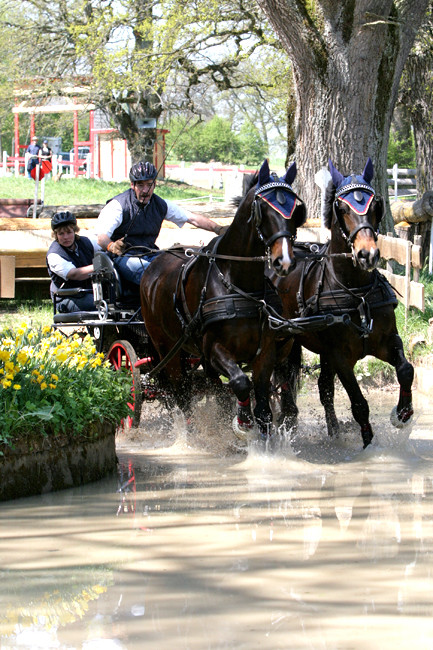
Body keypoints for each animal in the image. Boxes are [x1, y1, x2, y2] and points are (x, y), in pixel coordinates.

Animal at [140, 159, 306, 438]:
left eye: (296, 209)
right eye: (263, 208)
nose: (283, 261)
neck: (237, 282)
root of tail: (154, 264)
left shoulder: (265, 352)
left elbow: (263, 408)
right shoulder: (215, 348)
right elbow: (240, 382)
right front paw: (243, 421)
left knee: (211, 385)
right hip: (167, 349)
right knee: (181, 392)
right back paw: (190, 435)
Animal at [272, 158, 414, 446]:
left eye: (374, 205)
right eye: (342, 207)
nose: (367, 254)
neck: (357, 292)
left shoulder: (387, 341)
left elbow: (406, 370)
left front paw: (403, 413)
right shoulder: (340, 356)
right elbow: (359, 404)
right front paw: (369, 445)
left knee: (323, 388)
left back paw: (333, 430)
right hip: (286, 341)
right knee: (284, 379)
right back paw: (287, 418)